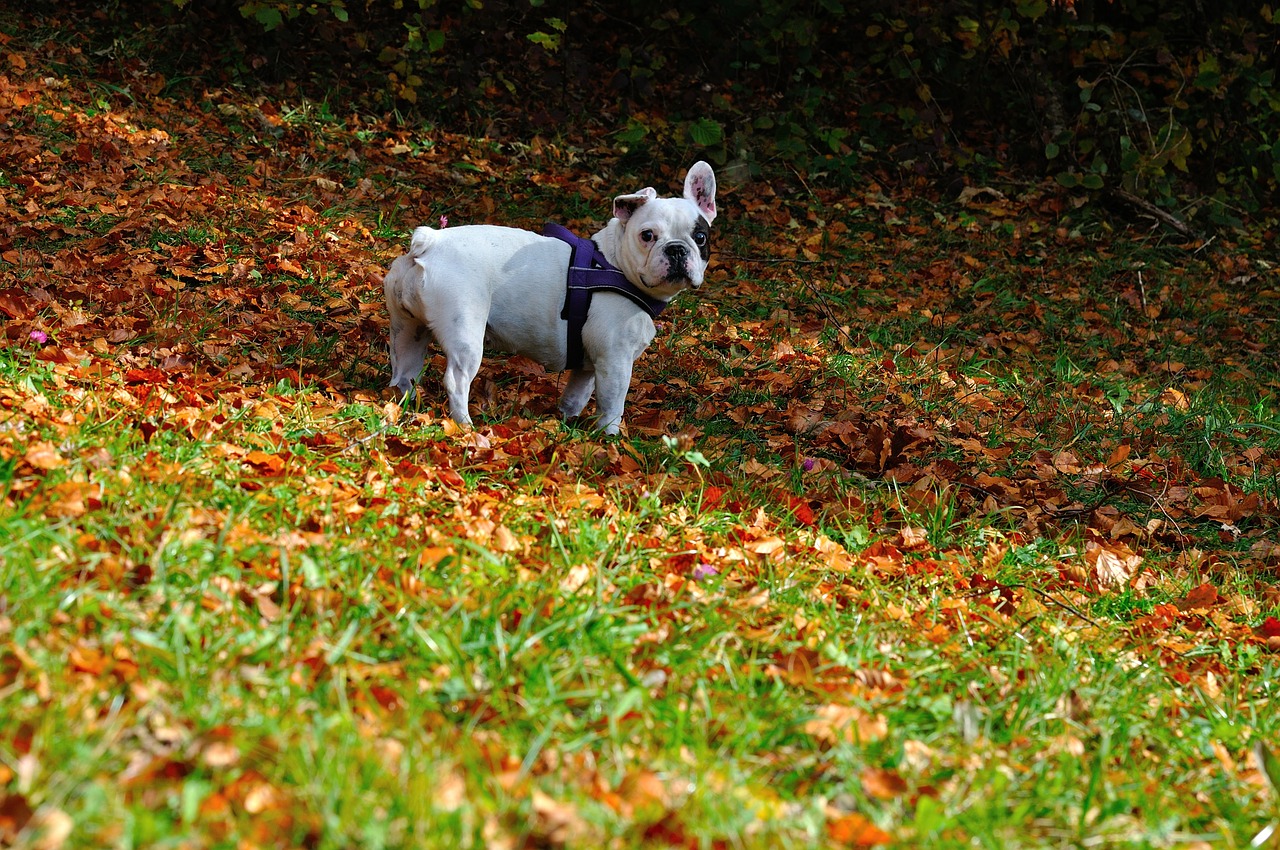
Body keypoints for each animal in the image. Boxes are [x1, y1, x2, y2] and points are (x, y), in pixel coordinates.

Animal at [384, 162, 716, 435]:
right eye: (647, 236)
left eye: (700, 237)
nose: (676, 249)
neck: (613, 264)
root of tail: (430, 242)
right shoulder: (615, 361)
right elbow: (612, 406)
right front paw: (609, 440)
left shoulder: (587, 366)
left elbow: (576, 397)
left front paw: (566, 425)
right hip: (465, 333)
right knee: (456, 380)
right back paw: (465, 426)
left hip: (407, 330)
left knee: (403, 370)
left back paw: (401, 403)